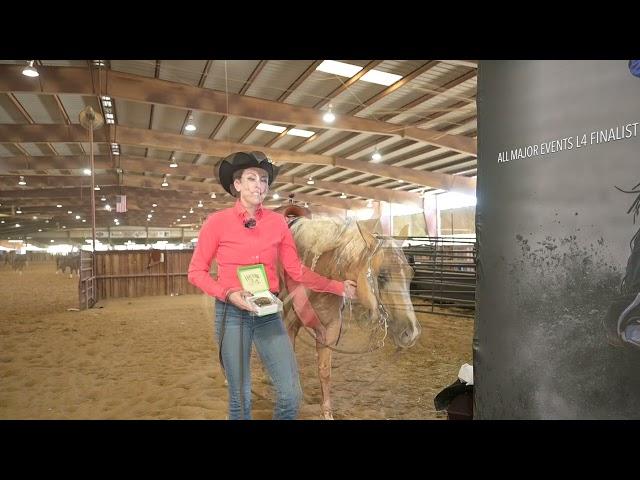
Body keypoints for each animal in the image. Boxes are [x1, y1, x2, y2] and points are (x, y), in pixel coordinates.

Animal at [278, 216, 420, 418]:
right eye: (382, 276)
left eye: (411, 274)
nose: (412, 333)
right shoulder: (290, 326)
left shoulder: (329, 330)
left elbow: (325, 371)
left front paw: (327, 413)